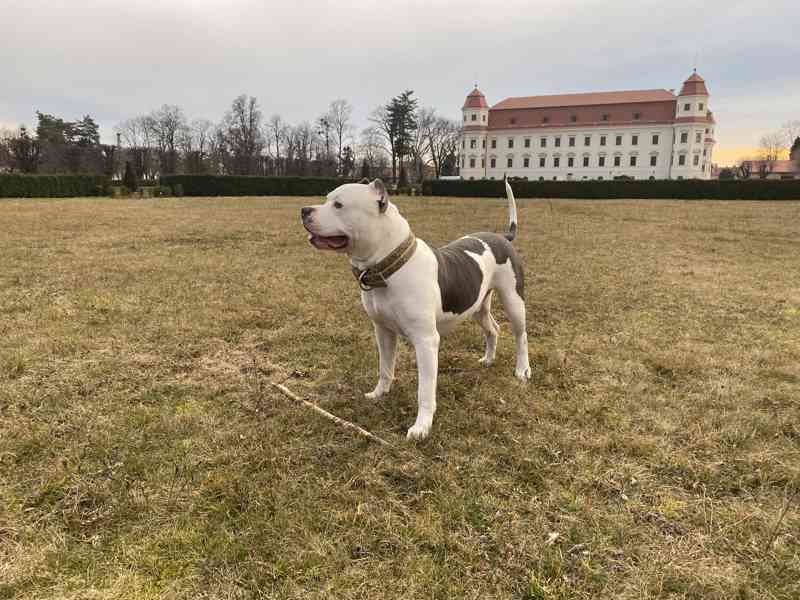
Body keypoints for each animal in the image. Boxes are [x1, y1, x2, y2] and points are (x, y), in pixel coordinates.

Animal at [300, 179, 532, 440]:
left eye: (338, 205)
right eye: (327, 199)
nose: (304, 210)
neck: (388, 268)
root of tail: (503, 237)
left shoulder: (426, 341)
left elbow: (425, 390)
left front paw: (422, 427)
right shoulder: (383, 331)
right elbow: (385, 368)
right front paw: (379, 393)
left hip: (513, 301)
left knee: (521, 336)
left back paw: (522, 370)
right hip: (477, 306)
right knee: (493, 328)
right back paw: (489, 359)